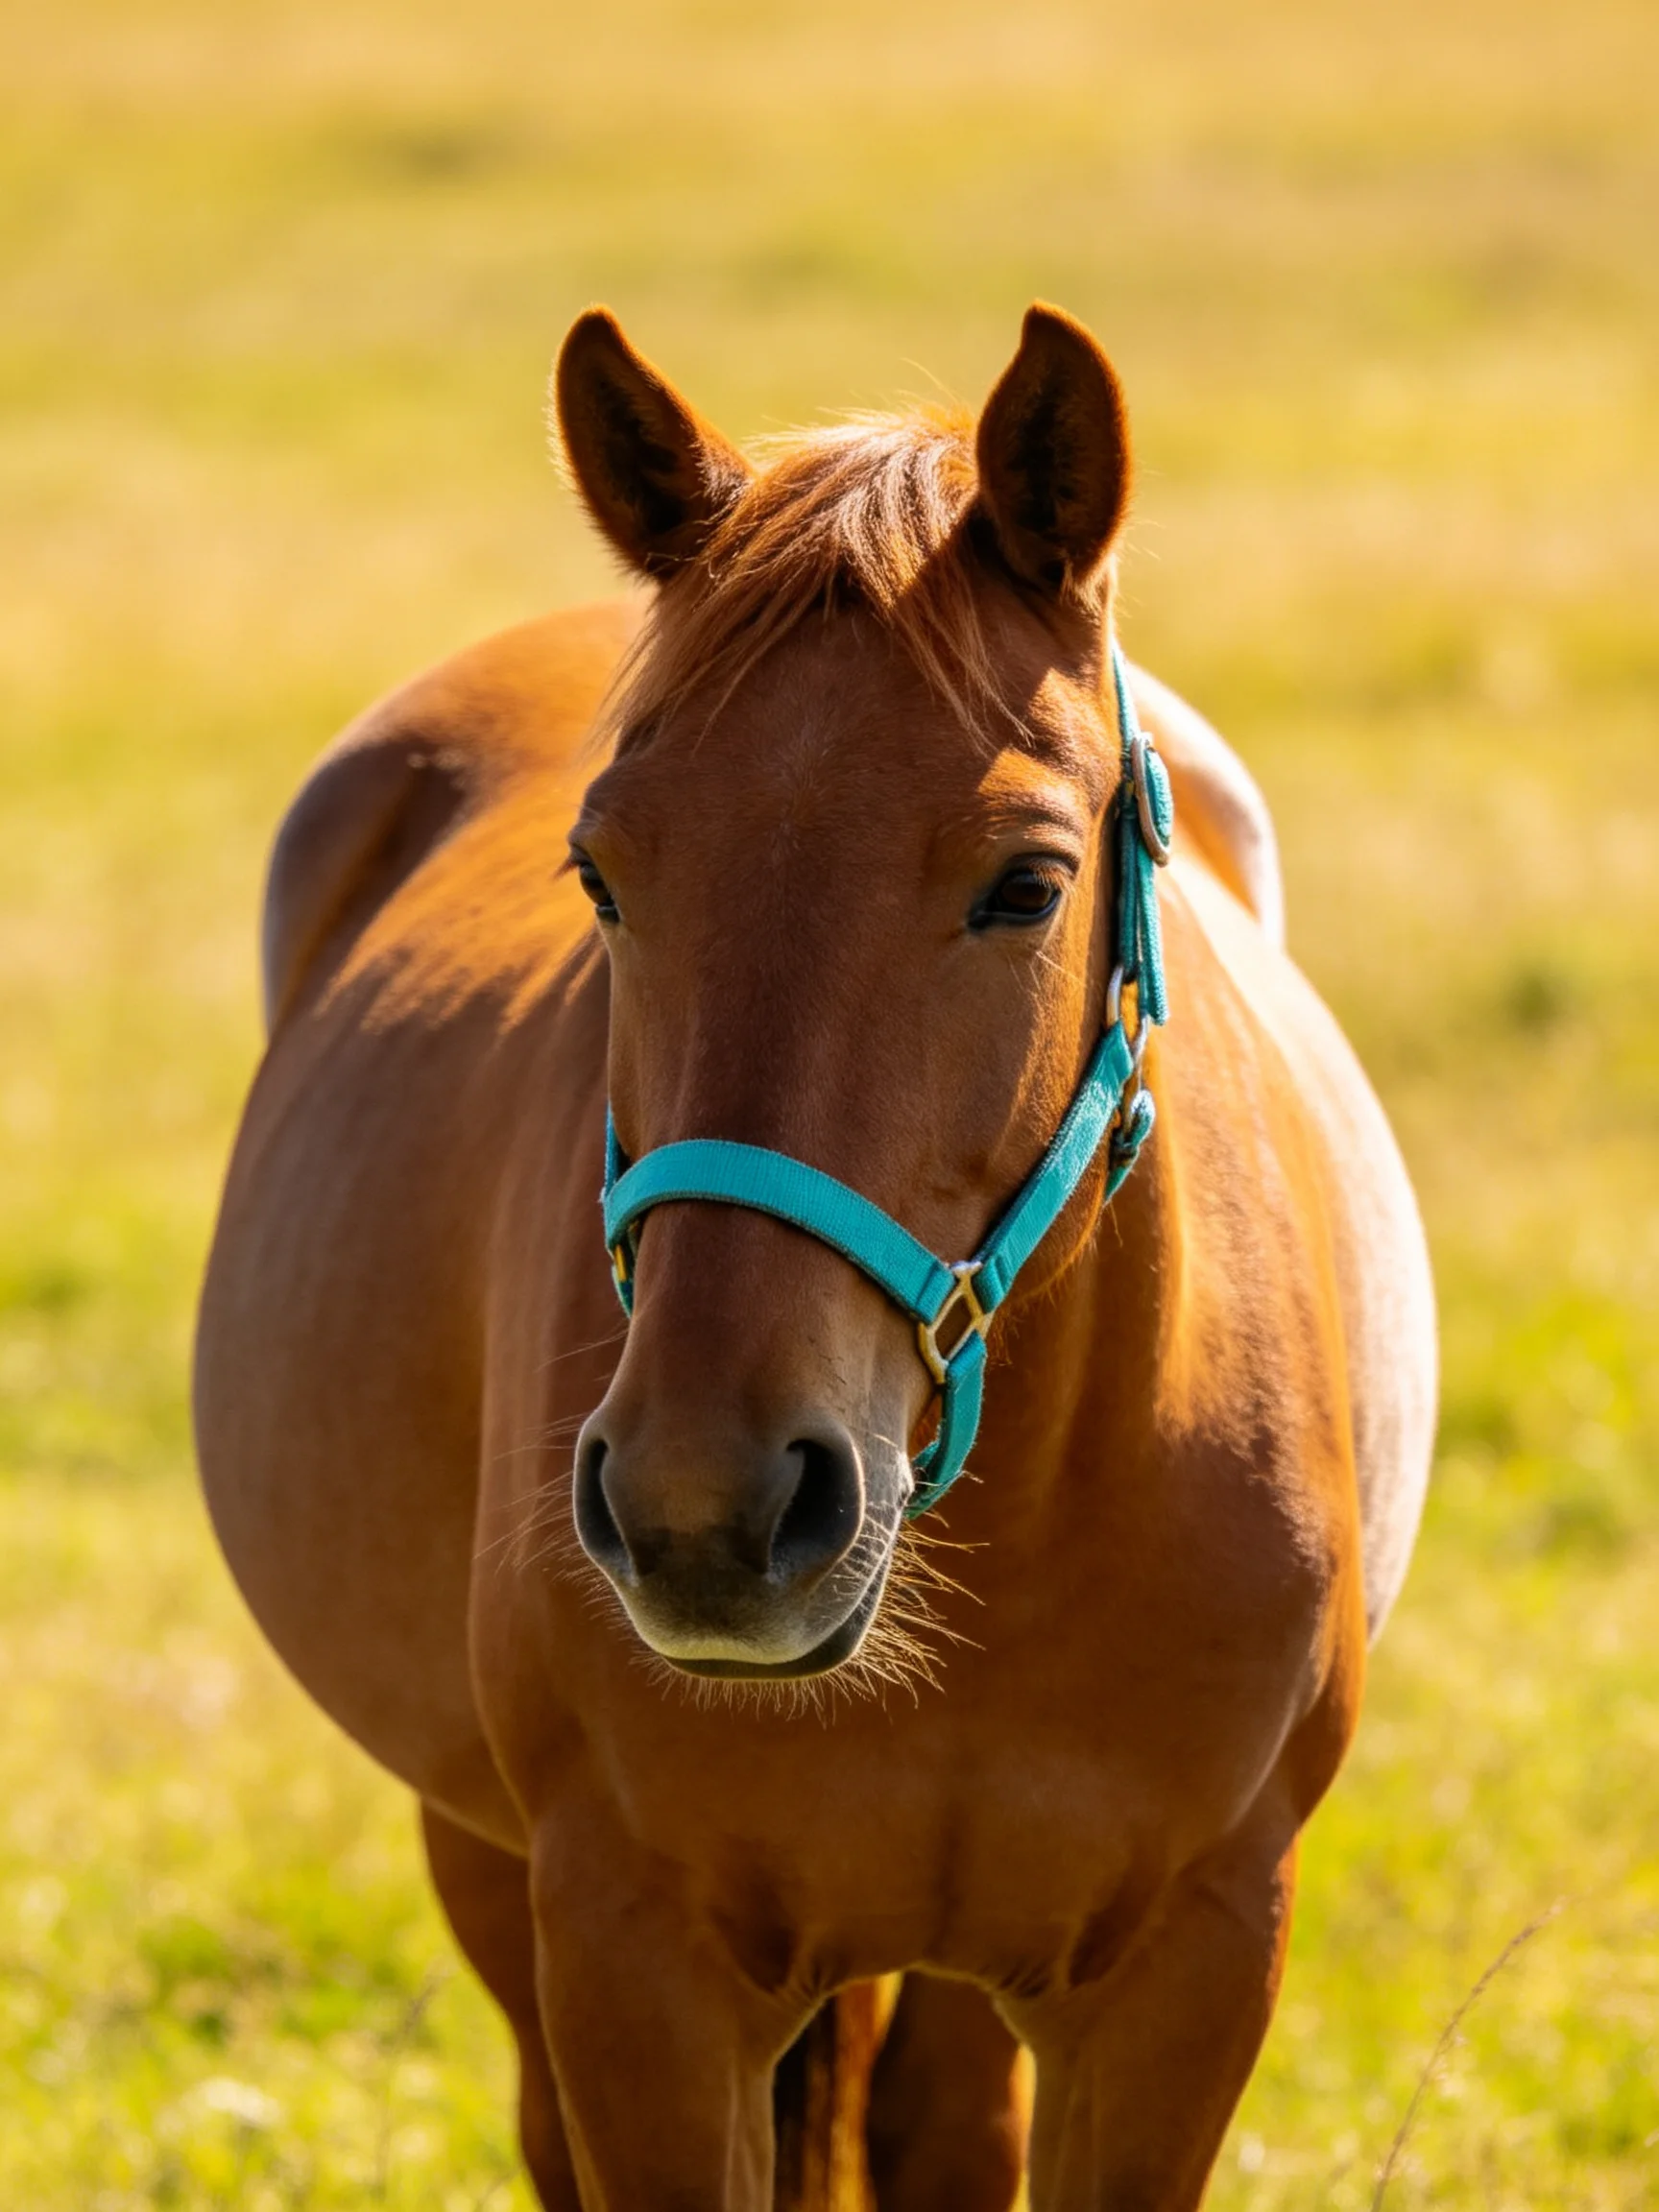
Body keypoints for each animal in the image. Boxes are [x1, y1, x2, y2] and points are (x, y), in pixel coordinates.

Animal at [195, 302, 1436, 2210]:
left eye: (1026, 882)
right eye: (599, 874)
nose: (704, 1511)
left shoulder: (1189, 1969)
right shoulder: (636, 1970)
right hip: (486, 1861)